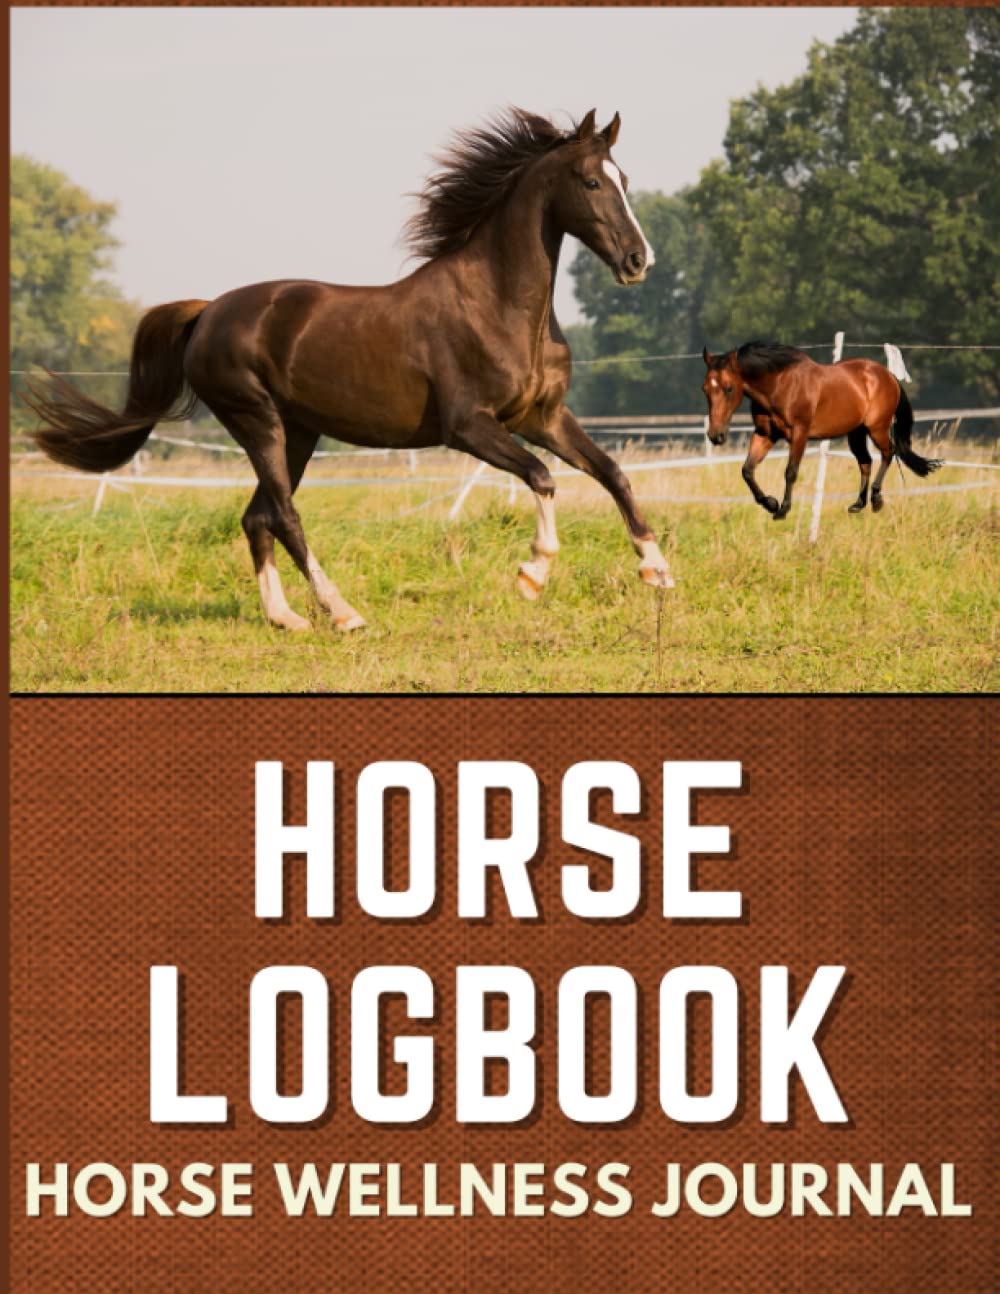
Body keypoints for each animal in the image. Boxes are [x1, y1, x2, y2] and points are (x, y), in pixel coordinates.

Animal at [24, 108, 673, 633]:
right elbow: (542, 477)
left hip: (298, 432)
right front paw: (532, 574)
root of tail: (208, 312)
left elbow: (612, 472)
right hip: (257, 421)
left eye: (624, 180)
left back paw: (286, 618)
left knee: (256, 517)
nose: (638, 261)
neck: (499, 305)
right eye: (591, 181)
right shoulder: (469, 427)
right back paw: (343, 613)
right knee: (283, 515)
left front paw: (657, 569)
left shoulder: (543, 417)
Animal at [701, 342, 941, 520]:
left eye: (729, 388)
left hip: (877, 428)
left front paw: (782, 509)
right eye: (705, 389)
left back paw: (876, 499)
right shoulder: (765, 434)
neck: (779, 385)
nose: (715, 435)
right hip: (856, 432)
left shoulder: (799, 434)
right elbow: (747, 471)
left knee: (887, 453)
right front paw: (770, 503)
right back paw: (858, 504)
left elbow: (790, 471)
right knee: (865, 461)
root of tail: (889, 376)